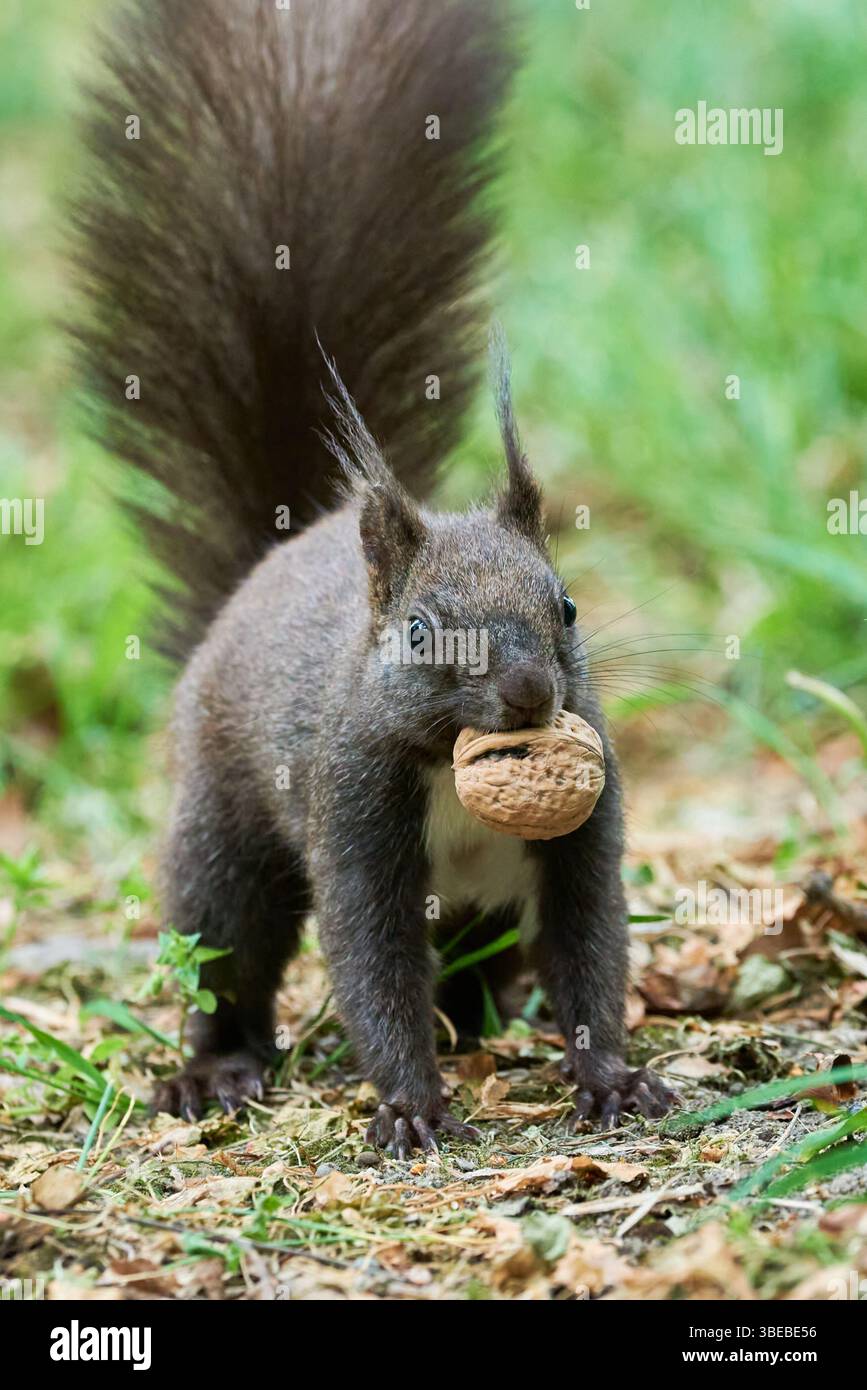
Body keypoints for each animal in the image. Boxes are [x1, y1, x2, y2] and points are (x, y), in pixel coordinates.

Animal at [75, 0, 675, 1155]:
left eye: (567, 605)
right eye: (421, 632)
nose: (529, 693)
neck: (454, 765)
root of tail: (274, 556)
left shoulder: (588, 821)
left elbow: (588, 951)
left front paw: (612, 1078)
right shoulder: (351, 808)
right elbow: (371, 963)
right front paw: (406, 1104)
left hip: (479, 915)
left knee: (481, 966)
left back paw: (486, 1025)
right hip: (223, 826)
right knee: (227, 950)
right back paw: (216, 1069)